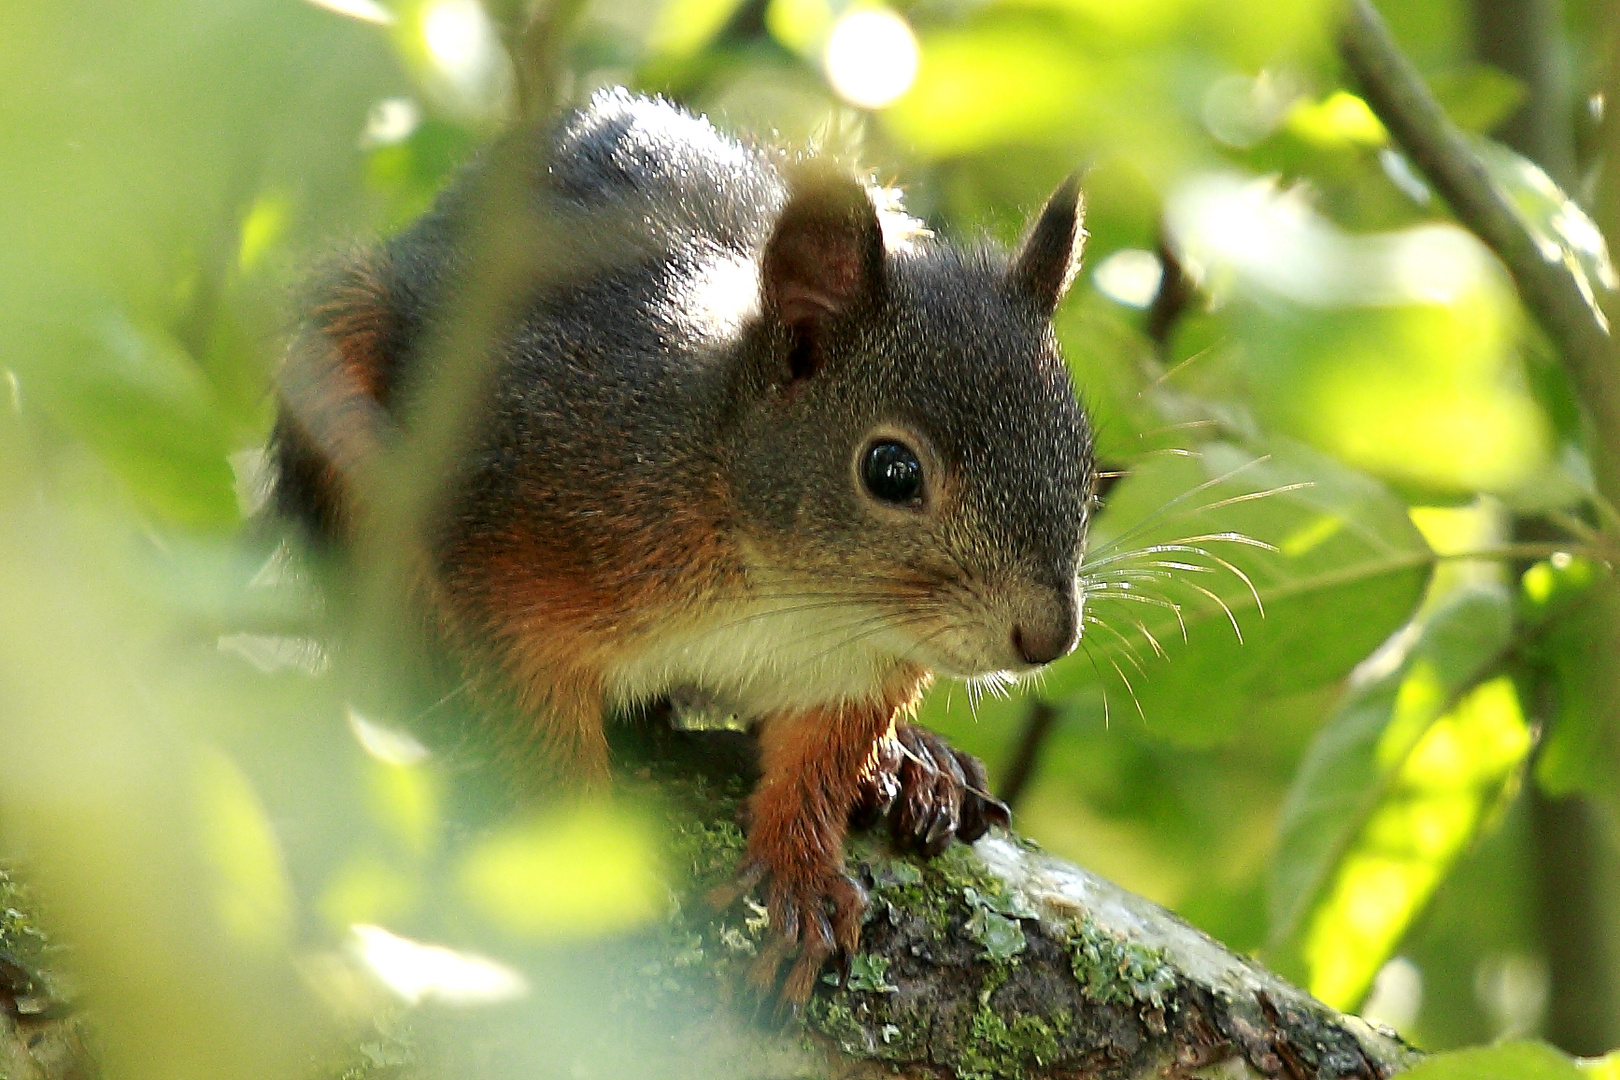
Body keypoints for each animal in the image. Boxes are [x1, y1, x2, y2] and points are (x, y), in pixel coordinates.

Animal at [272, 88, 1095, 1010]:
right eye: (891, 469)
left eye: (1080, 450)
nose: (1047, 636)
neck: (788, 589)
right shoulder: (515, 539)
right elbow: (533, 711)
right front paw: (571, 845)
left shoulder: (859, 670)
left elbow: (818, 765)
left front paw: (802, 873)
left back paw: (917, 765)